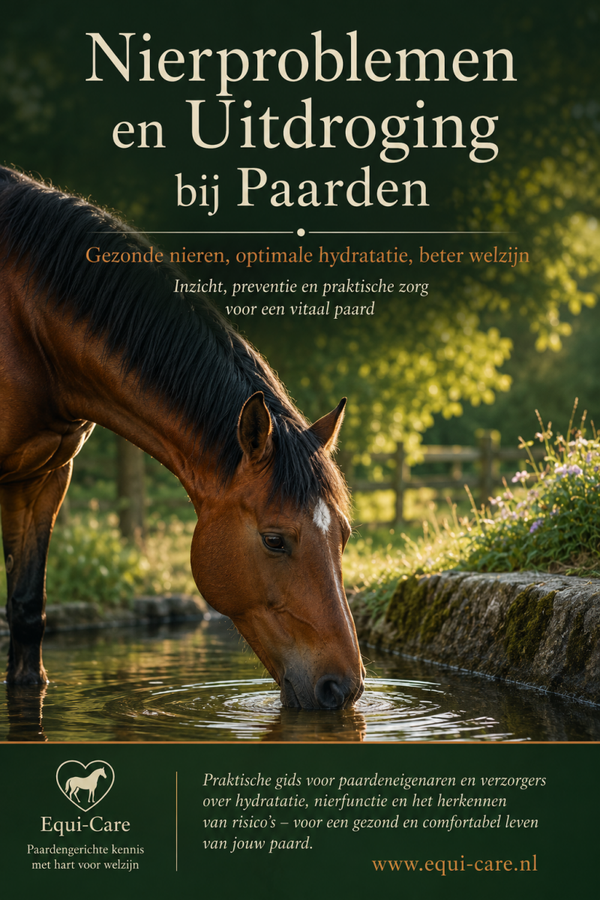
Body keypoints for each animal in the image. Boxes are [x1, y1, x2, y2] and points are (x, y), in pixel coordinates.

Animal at [0, 167, 364, 709]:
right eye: (274, 540)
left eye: (343, 534)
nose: (343, 688)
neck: (25, 322)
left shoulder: (43, 478)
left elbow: (26, 614)